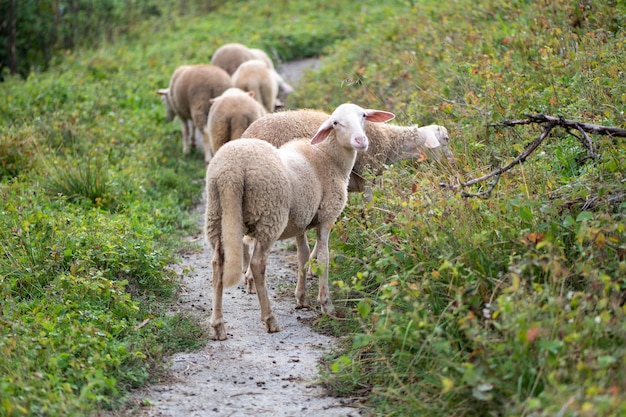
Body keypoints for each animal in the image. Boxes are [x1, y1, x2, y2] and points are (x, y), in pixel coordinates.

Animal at [202, 101, 392, 338]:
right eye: (336, 123)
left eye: (363, 115)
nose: (361, 141)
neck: (328, 157)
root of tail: (232, 172)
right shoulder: (327, 216)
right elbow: (323, 258)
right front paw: (326, 305)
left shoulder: (301, 220)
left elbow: (303, 255)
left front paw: (301, 297)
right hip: (269, 215)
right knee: (257, 264)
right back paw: (270, 319)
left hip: (217, 215)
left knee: (217, 263)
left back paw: (218, 325)